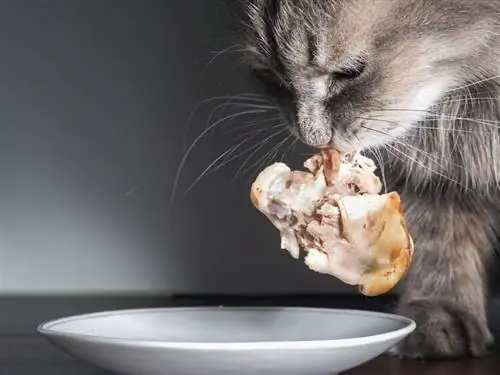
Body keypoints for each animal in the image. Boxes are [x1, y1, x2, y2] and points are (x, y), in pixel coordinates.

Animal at [237, 0, 500, 360]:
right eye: (272, 77)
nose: (313, 137)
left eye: (350, 71)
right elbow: (442, 242)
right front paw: (438, 309)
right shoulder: (441, 170)